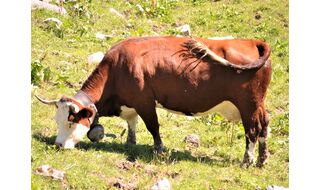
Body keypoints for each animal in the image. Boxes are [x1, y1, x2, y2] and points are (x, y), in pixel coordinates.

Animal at [37, 36, 272, 168]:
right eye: (57, 120)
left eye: (70, 122)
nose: (58, 145)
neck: (117, 68)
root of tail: (253, 42)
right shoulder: (130, 104)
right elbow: (131, 123)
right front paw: (130, 143)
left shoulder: (145, 102)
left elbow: (153, 127)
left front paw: (159, 149)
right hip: (258, 104)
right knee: (264, 126)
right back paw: (262, 159)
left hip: (248, 105)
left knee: (252, 130)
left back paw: (246, 161)